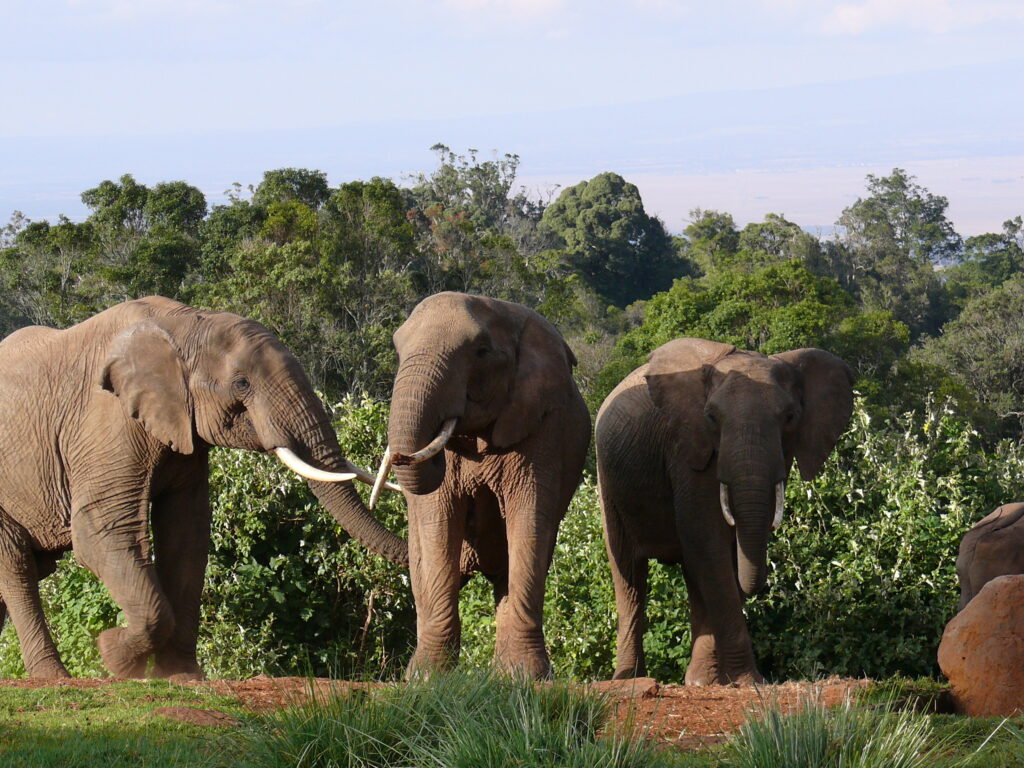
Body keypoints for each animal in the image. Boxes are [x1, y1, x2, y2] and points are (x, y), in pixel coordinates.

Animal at [0, 296, 405, 684]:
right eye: (242, 384)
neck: (185, 324)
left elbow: (186, 537)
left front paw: (181, 675)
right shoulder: (104, 423)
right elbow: (102, 534)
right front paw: (113, 655)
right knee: (17, 568)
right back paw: (53, 676)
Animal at [372, 290, 589, 679]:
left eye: (481, 352)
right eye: (397, 351)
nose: (400, 457)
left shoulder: (544, 428)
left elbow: (529, 519)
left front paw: (527, 677)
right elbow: (438, 521)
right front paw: (427, 677)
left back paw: (505, 672)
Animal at [598, 339, 851, 688]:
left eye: (790, 417)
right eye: (711, 417)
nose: (759, 587)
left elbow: (723, 552)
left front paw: (723, 681)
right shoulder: (687, 448)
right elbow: (707, 541)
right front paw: (748, 681)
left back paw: (700, 681)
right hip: (608, 481)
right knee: (629, 573)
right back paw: (629, 679)